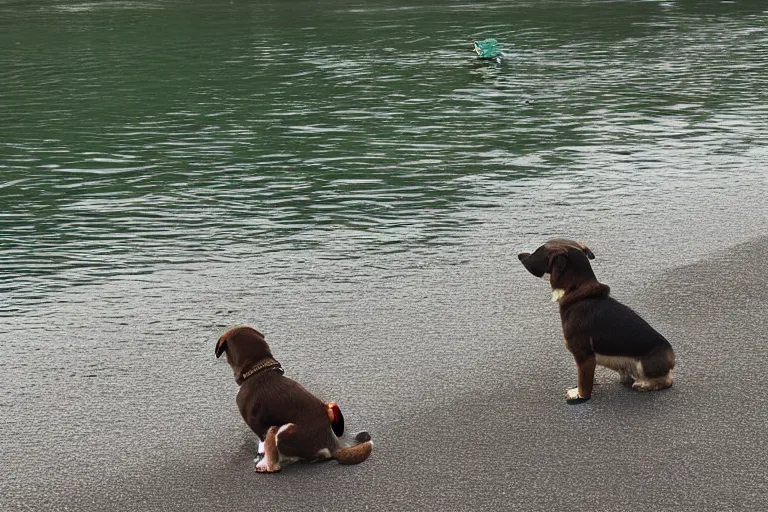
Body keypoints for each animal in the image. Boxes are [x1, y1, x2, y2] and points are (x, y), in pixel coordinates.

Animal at [214, 326, 374, 474]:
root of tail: (333, 445)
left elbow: (265, 449)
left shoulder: (260, 428)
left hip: (284, 431)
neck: (258, 370)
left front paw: (264, 463)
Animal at [520, 240, 676, 404]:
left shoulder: (584, 356)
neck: (575, 289)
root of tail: (672, 357)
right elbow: (584, 378)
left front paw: (580, 396)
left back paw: (644, 385)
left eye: (537, 251)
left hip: (644, 364)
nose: (519, 255)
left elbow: (584, 384)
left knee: (666, 381)